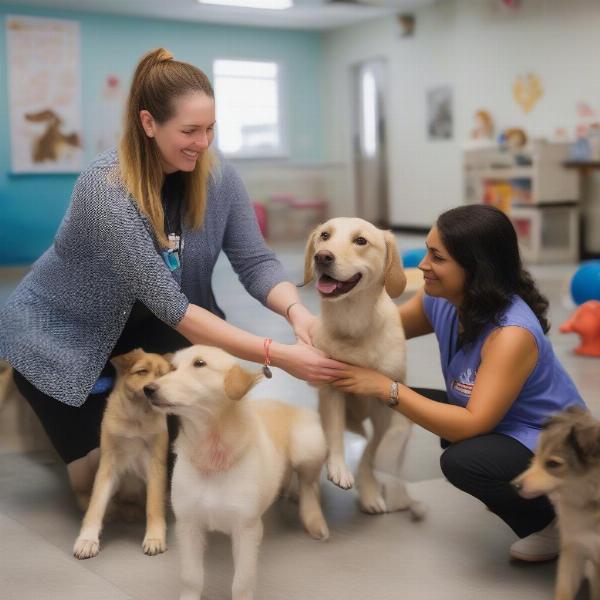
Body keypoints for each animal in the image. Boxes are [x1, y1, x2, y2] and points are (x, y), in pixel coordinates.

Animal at [73, 350, 171, 560]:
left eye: (164, 376)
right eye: (142, 371)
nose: (151, 389)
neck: (136, 418)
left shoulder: (155, 469)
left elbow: (154, 508)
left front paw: (154, 538)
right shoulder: (108, 468)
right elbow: (96, 507)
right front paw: (87, 540)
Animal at [146, 344, 330, 600]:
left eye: (199, 364)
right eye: (172, 368)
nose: (148, 389)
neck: (211, 451)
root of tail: (284, 403)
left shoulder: (247, 529)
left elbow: (242, 582)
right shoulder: (188, 524)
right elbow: (191, 577)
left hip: (308, 445)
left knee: (308, 485)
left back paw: (314, 519)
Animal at [302, 218, 424, 516]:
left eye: (361, 241)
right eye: (324, 235)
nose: (322, 257)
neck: (353, 322)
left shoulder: (386, 403)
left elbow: (376, 449)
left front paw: (371, 485)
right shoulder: (331, 389)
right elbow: (334, 433)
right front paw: (339, 468)